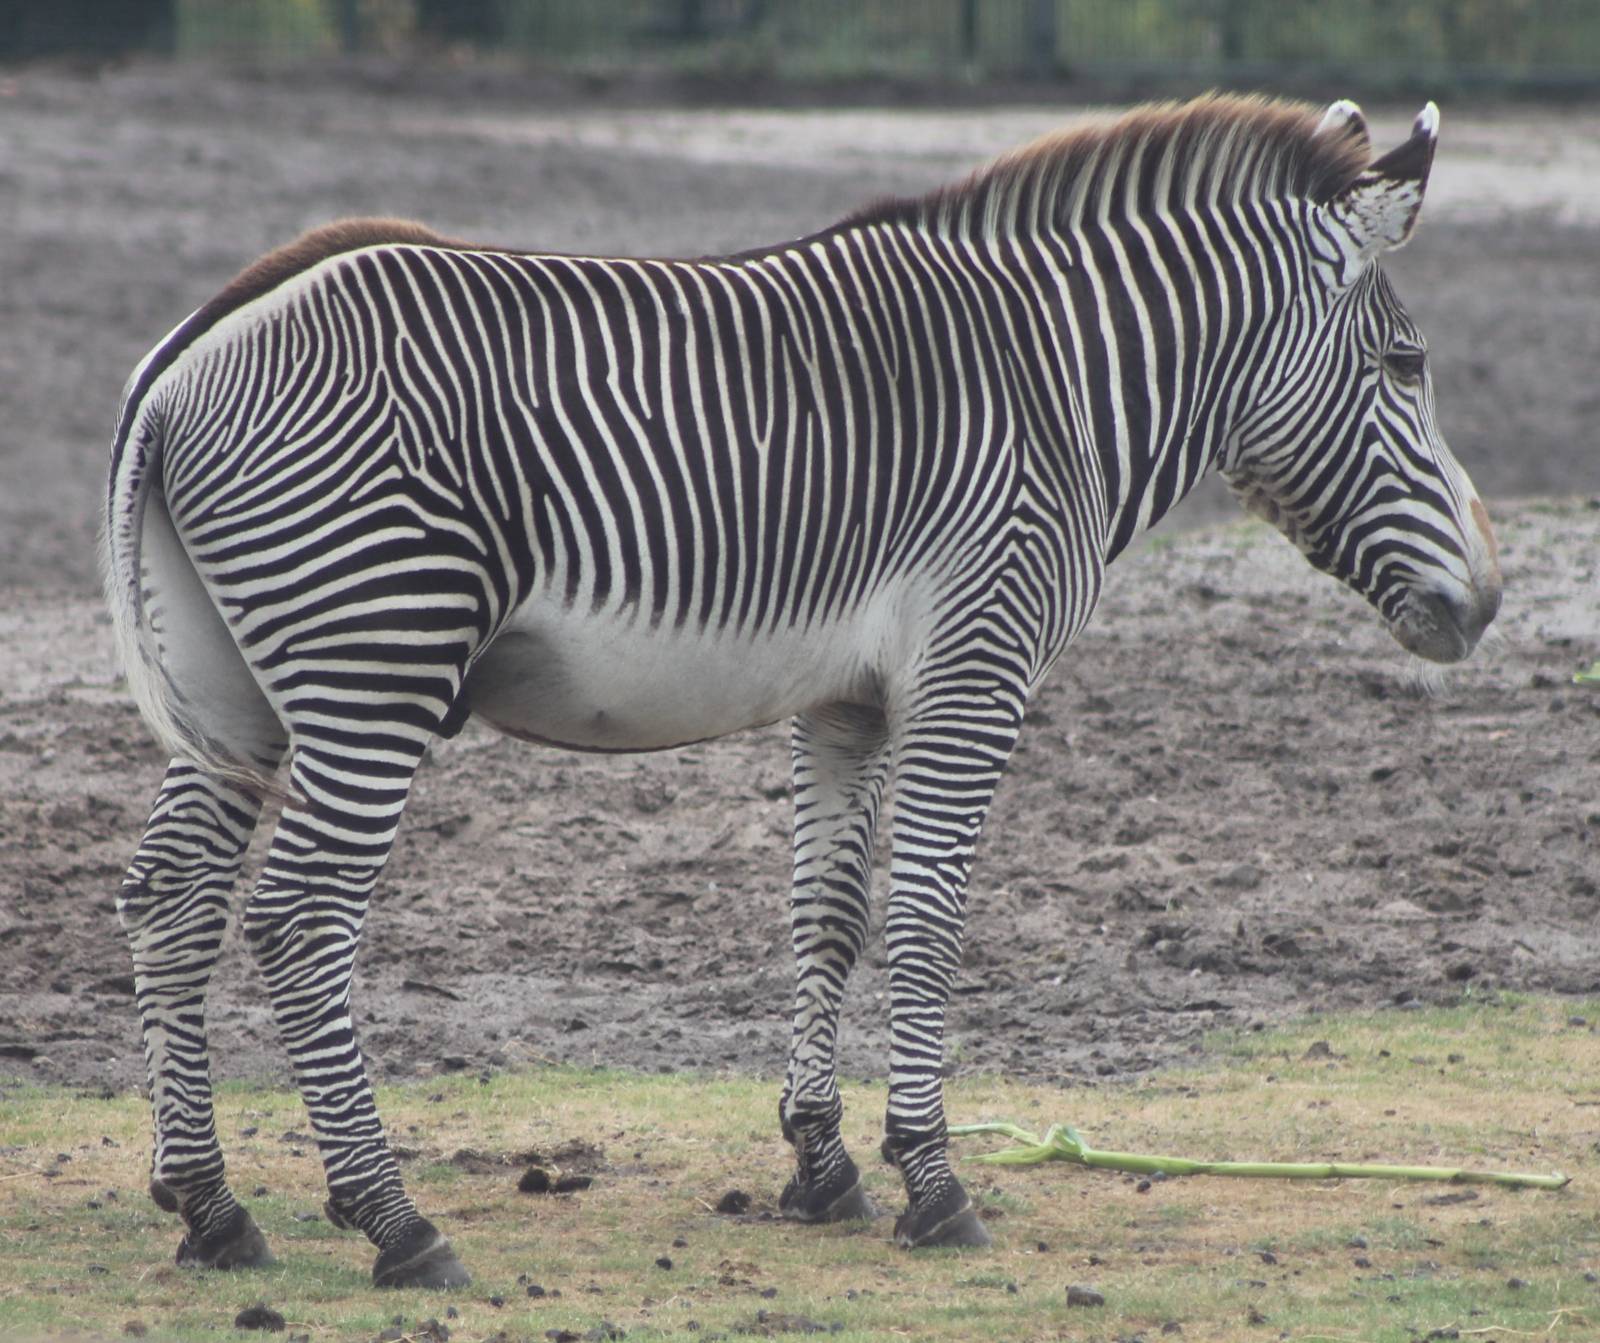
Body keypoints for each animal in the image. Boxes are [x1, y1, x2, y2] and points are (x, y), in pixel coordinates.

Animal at [103, 94, 1501, 1286]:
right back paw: (394, 1219)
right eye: (1405, 364)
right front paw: (934, 1178)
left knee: (170, 899)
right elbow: (928, 916)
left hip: (237, 695)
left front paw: (823, 1164)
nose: (1486, 602)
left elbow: (826, 914)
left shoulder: (847, 699)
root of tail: (187, 358)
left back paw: (212, 1207)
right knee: (298, 915)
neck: (1051, 384)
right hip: (376, 661)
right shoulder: (974, 664)